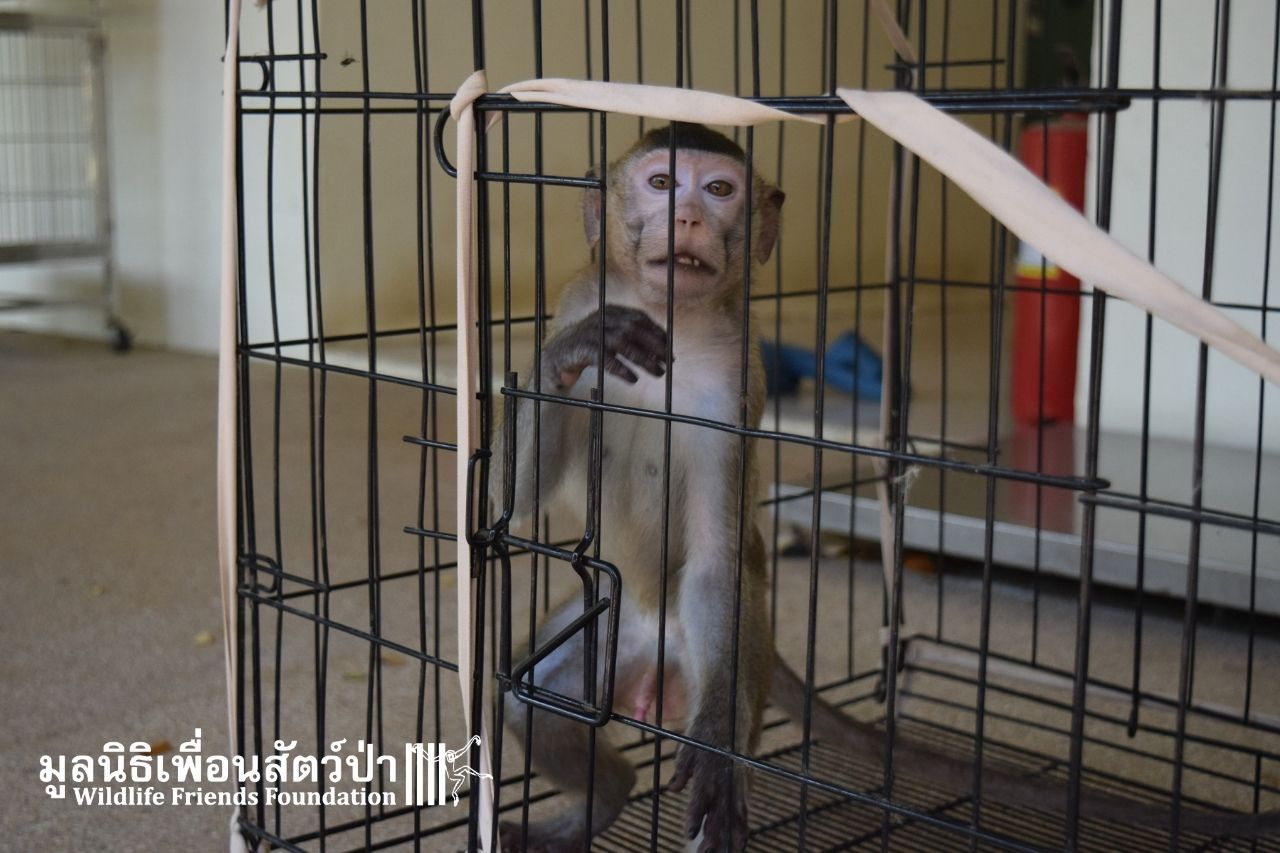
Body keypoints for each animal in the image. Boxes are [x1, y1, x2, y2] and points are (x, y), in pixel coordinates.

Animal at [491, 123, 1280, 852]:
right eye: (661, 183)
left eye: (717, 190)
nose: (685, 218)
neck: (670, 320)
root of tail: (661, 639)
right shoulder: (579, 298)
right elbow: (519, 500)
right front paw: (569, 354)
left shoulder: (733, 381)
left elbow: (716, 558)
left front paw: (713, 753)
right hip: (616, 626)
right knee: (532, 697)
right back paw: (603, 802)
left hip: (728, 648)